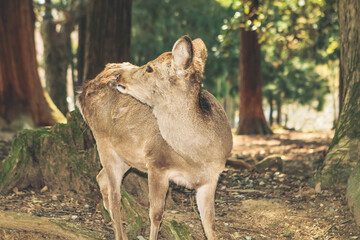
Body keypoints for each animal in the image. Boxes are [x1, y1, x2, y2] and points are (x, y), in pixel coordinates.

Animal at [77, 35, 232, 240]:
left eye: (150, 68)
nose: (119, 77)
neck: (198, 157)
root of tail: (82, 90)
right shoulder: (157, 163)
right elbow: (156, 214)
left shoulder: (211, 178)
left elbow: (210, 224)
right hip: (103, 141)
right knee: (115, 195)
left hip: (127, 155)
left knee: (101, 178)